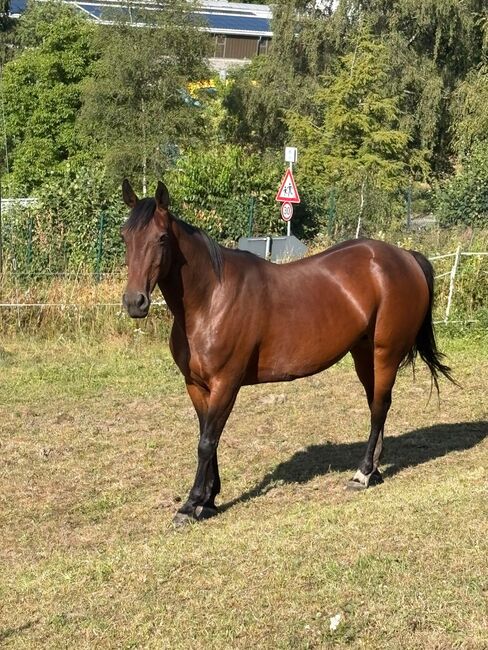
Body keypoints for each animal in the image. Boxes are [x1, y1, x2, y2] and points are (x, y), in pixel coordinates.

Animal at [120, 179, 454, 527]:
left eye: (161, 238)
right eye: (124, 237)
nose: (134, 302)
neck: (210, 298)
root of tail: (405, 256)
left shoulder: (226, 384)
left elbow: (206, 442)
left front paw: (191, 504)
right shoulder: (197, 386)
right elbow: (207, 439)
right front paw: (209, 500)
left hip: (384, 353)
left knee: (379, 407)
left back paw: (362, 474)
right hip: (363, 354)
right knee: (377, 404)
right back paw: (374, 470)